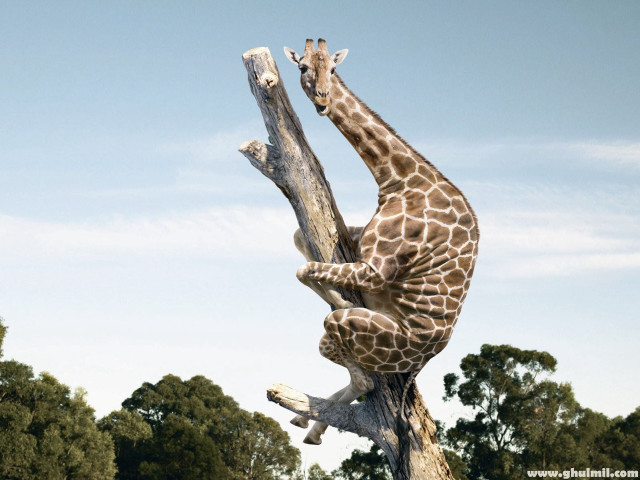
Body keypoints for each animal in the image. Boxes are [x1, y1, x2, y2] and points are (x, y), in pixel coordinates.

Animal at [283, 39, 479, 445]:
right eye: (303, 67)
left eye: (333, 70)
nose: (323, 100)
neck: (398, 178)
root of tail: (422, 360)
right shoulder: (357, 245)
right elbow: (299, 242)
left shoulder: (376, 270)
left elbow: (304, 269)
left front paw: (340, 296)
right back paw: (307, 425)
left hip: (357, 334)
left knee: (362, 378)